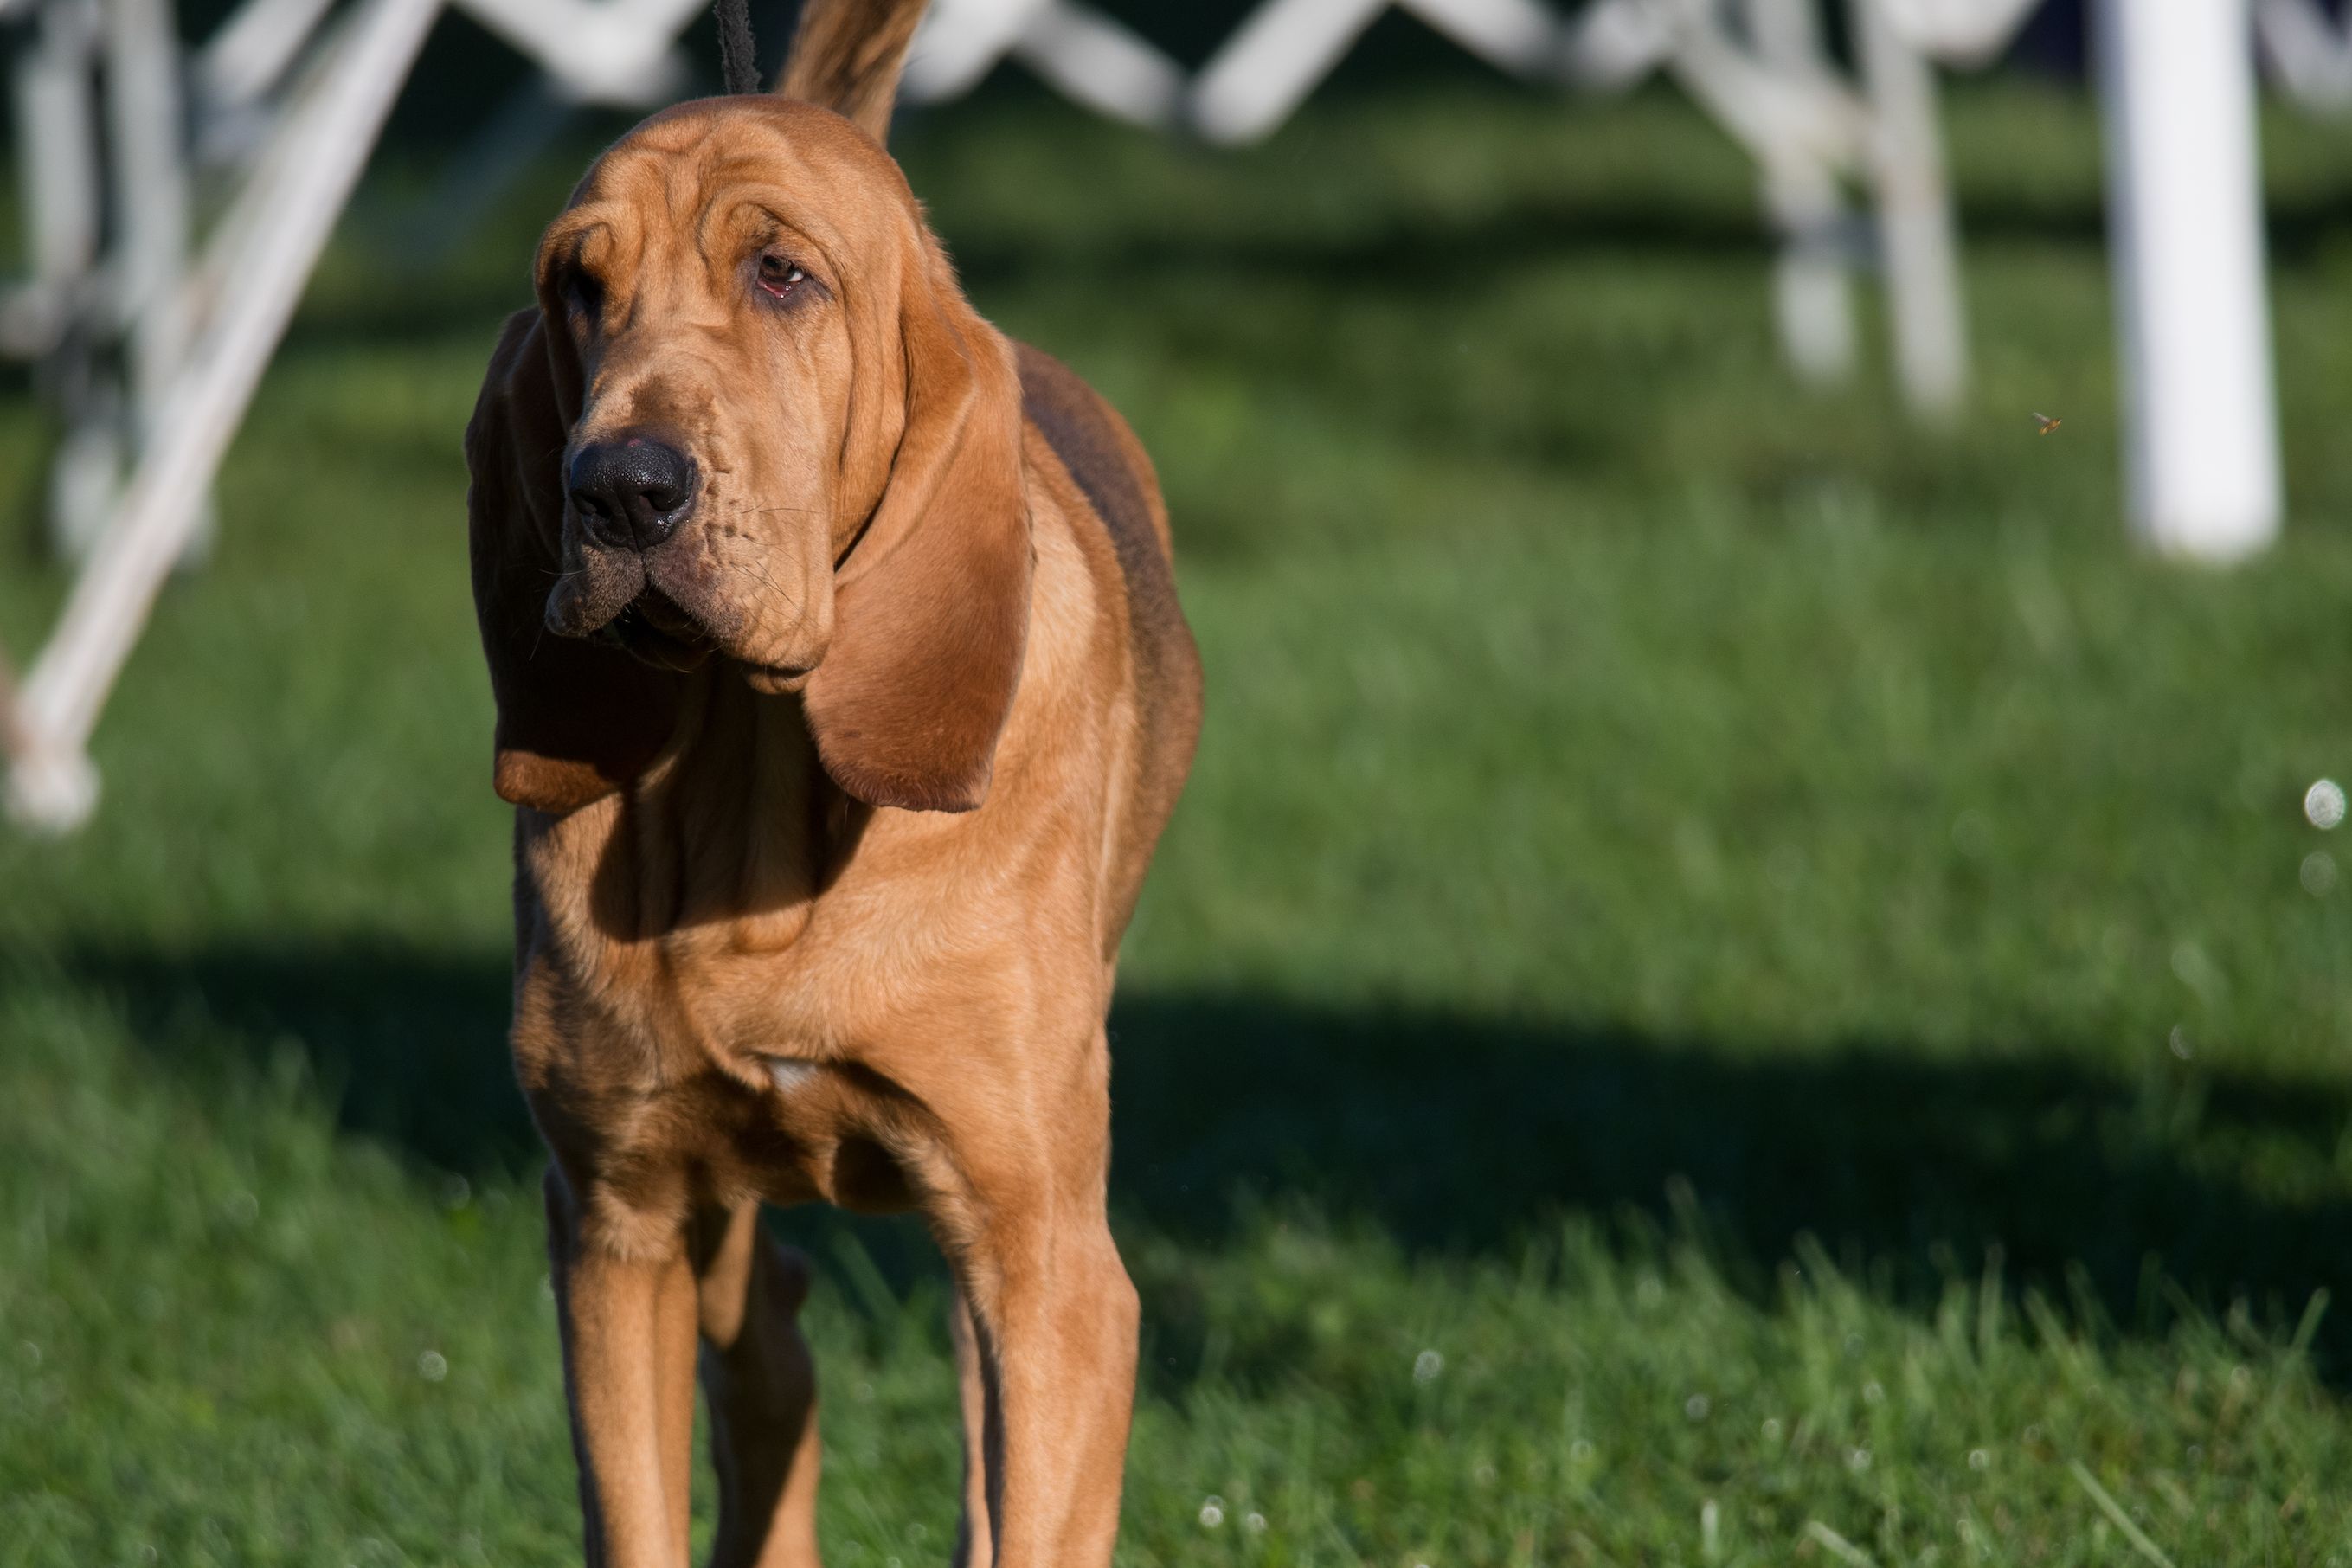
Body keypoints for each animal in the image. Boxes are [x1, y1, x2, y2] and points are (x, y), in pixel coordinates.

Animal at [459, 6, 1204, 1560]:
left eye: (781, 275)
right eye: (577, 287)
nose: (620, 489)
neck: (757, 796)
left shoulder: (1046, 1269)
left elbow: (1020, 1504)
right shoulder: (612, 1228)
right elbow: (641, 1509)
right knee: (771, 1346)